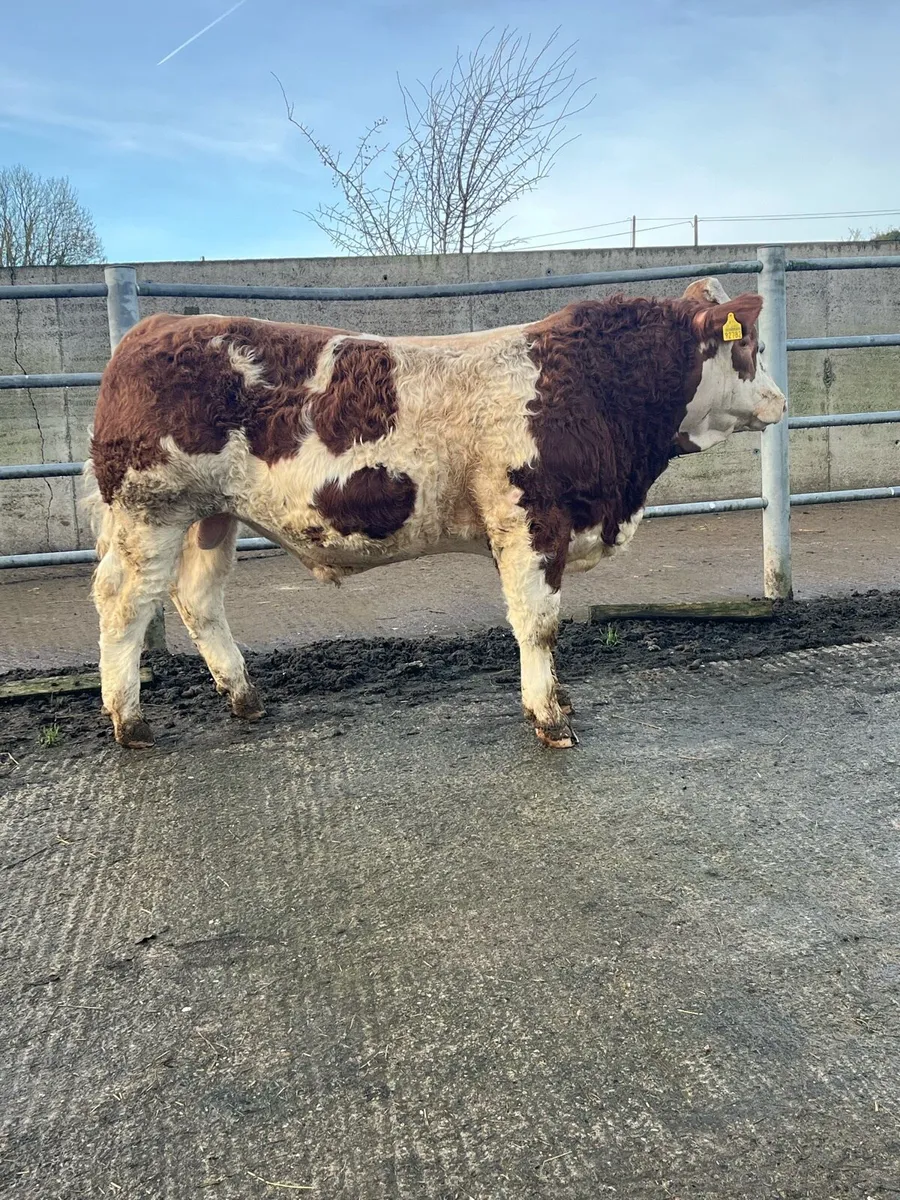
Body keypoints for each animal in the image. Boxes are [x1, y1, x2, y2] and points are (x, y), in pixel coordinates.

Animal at [83, 276, 785, 750]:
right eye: (750, 345)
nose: (780, 400)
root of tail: (154, 327)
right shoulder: (530, 518)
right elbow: (539, 624)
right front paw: (550, 718)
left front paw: (559, 702)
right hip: (152, 510)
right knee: (123, 602)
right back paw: (131, 723)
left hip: (212, 516)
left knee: (198, 600)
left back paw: (246, 700)